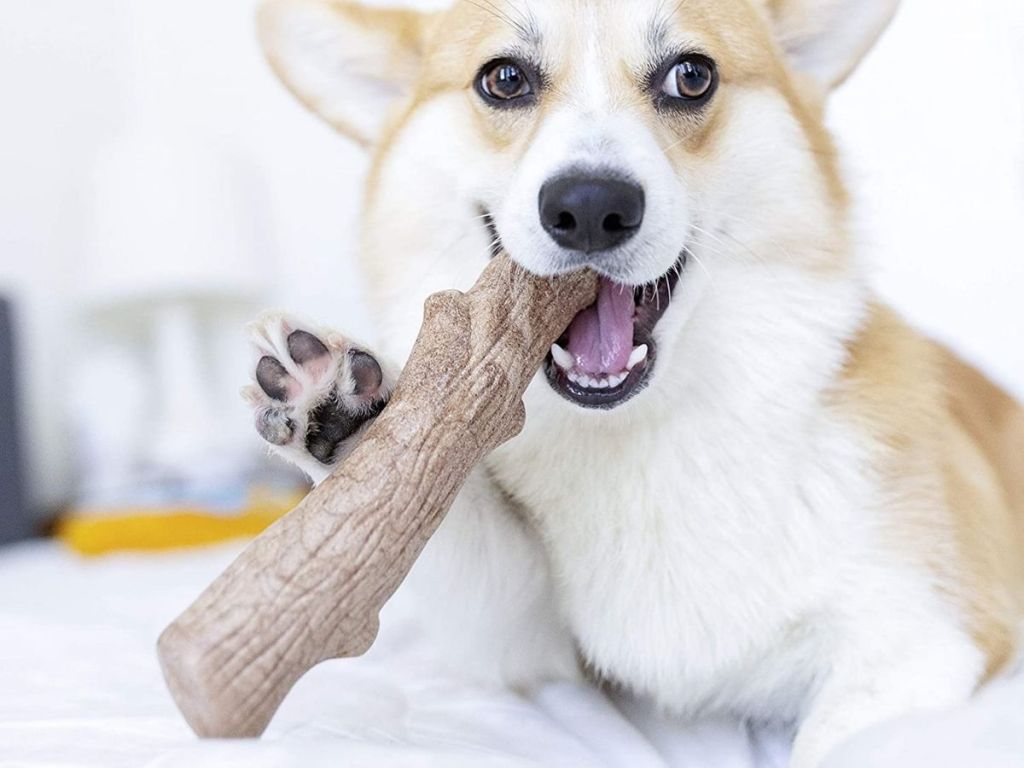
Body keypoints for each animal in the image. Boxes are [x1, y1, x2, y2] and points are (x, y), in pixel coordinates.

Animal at [241, 3, 1024, 765]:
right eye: (504, 80)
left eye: (691, 76)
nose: (590, 207)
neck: (642, 432)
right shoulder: (532, 654)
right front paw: (346, 413)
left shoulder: (921, 640)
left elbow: (839, 737)